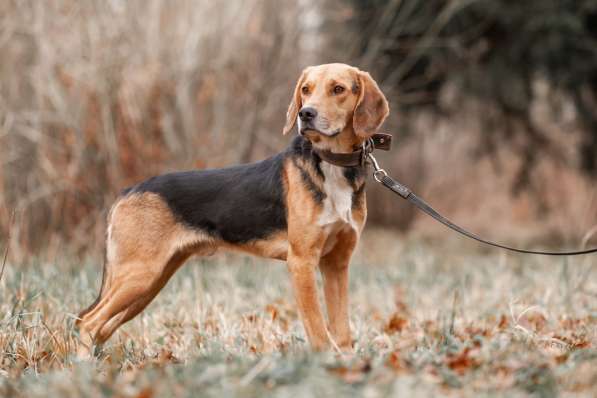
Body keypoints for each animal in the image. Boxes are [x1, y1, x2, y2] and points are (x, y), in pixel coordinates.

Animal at [74, 63, 388, 352]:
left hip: (150, 282)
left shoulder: (336, 263)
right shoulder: (302, 262)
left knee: (98, 325)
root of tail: (127, 192)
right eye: (305, 90)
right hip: (139, 275)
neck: (331, 164)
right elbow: (319, 332)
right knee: (88, 322)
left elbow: (342, 332)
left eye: (338, 89)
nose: (306, 114)